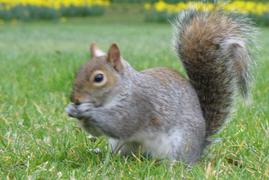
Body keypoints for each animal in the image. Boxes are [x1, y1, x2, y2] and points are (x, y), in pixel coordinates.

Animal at [65, 10, 253, 165]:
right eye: (79, 70)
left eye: (99, 78)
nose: (75, 99)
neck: (122, 89)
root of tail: (199, 148)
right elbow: (96, 131)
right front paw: (71, 109)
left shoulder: (138, 106)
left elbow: (119, 124)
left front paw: (87, 111)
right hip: (120, 144)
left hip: (180, 143)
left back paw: (171, 165)